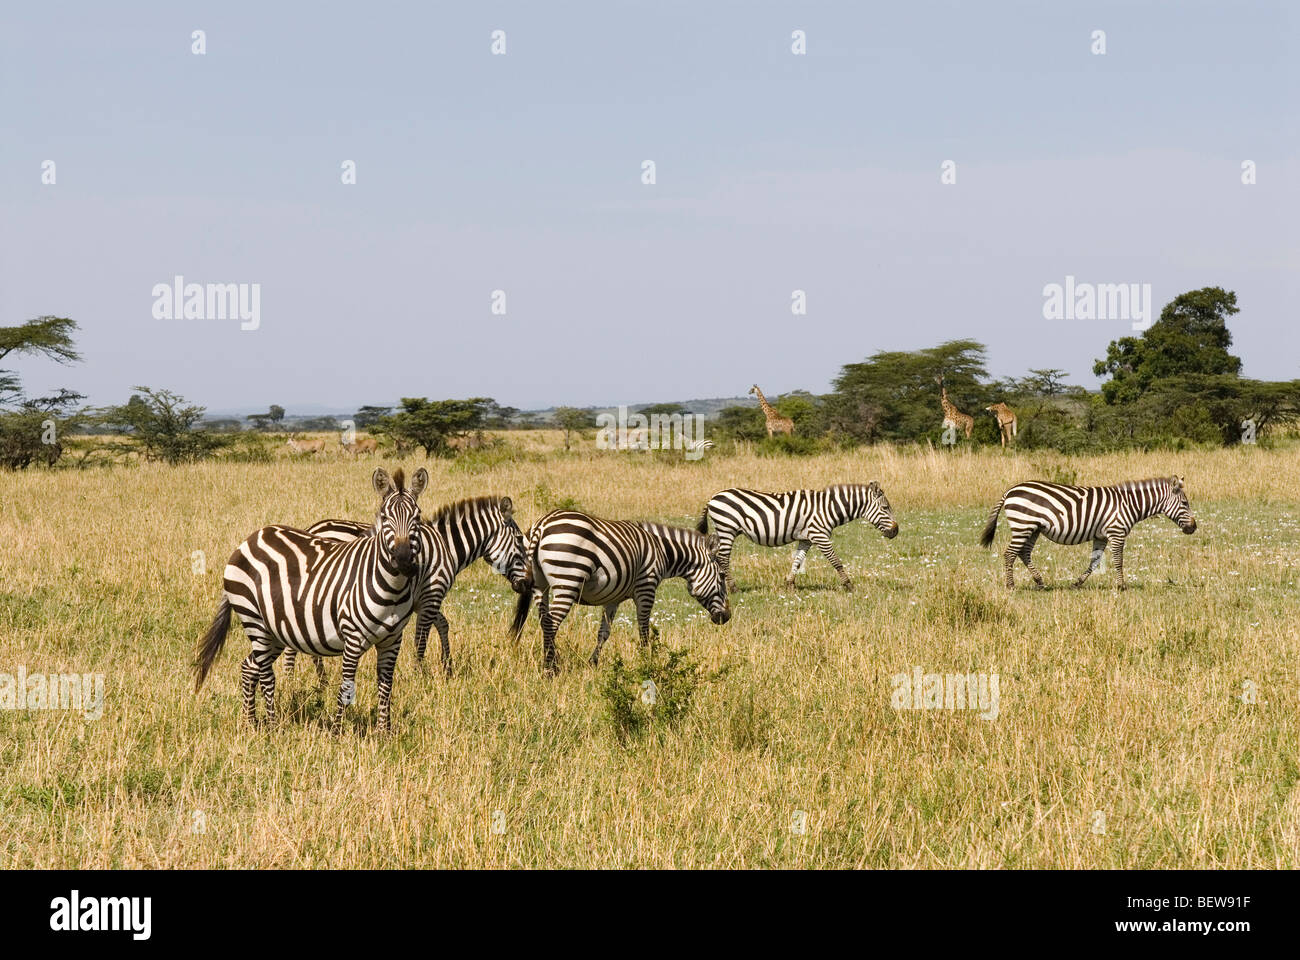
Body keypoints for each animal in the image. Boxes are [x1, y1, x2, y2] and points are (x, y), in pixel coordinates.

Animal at [192, 468, 428, 728]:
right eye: (385, 518)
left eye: (417, 518)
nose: (403, 560)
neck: (391, 590)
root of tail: (250, 539)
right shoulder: (352, 637)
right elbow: (346, 689)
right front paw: (337, 731)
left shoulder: (392, 640)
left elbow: (386, 688)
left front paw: (383, 732)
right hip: (254, 620)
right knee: (266, 676)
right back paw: (272, 728)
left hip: (275, 630)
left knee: (249, 667)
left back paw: (250, 723)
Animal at [284, 496, 527, 676]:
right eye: (519, 539)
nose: (526, 584)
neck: (446, 546)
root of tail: (313, 528)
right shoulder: (432, 595)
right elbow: (422, 637)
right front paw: (419, 674)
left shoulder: (422, 600)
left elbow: (443, 624)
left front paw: (447, 666)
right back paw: (294, 677)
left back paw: (317, 677)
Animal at [506, 509, 733, 671]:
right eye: (722, 576)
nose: (727, 617)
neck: (661, 550)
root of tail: (542, 525)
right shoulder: (646, 588)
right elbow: (644, 629)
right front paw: (647, 662)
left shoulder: (612, 597)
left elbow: (603, 633)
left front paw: (593, 663)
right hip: (568, 580)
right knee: (551, 622)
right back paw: (550, 668)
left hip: (540, 585)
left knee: (544, 619)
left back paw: (553, 660)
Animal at [696, 481, 899, 587]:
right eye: (885, 508)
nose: (896, 531)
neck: (827, 508)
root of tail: (713, 497)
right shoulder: (820, 535)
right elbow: (836, 561)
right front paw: (848, 585)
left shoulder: (806, 538)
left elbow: (797, 560)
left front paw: (790, 584)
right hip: (727, 529)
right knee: (723, 558)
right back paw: (733, 587)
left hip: (723, 530)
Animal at [977, 476, 1196, 587]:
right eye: (1185, 503)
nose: (1194, 527)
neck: (1128, 504)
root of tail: (1010, 490)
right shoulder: (1117, 532)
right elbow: (1118, 560)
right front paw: (1121, 586)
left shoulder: (1101, 536)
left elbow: (1095, 562)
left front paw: (1078, 583)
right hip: (1023, 524)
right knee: (1010, 554)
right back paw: (1011, 585)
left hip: (1033, 528)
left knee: (1024, 553)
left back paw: (1040, 582)